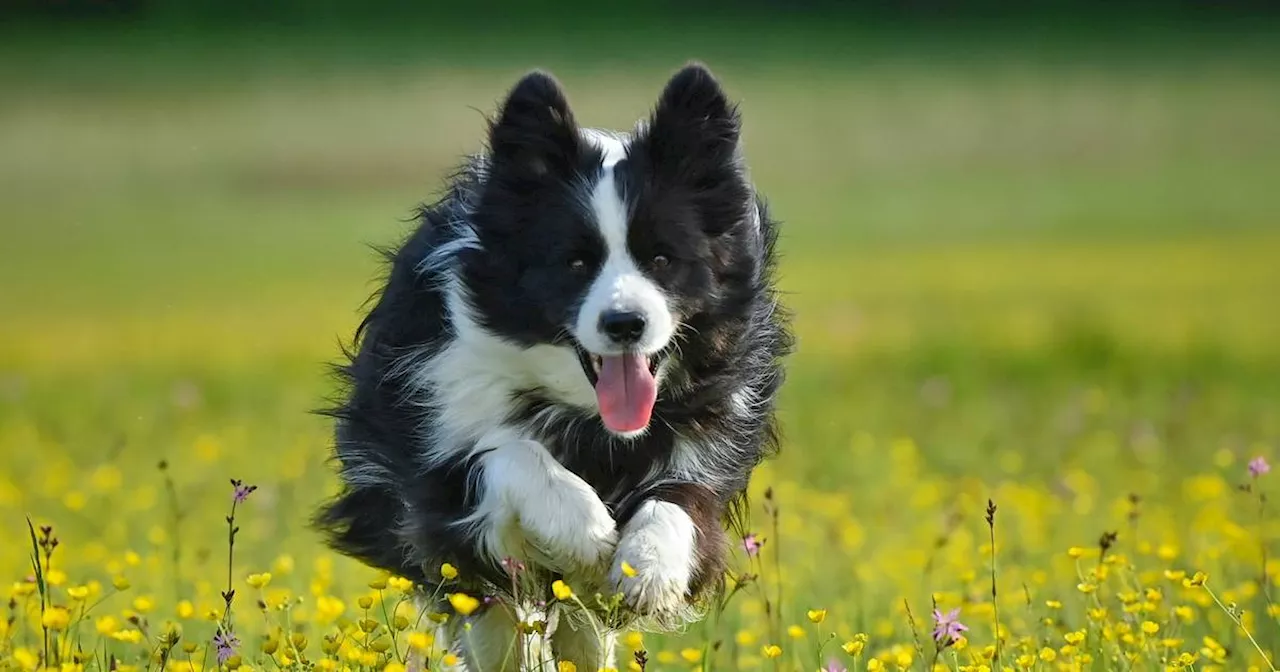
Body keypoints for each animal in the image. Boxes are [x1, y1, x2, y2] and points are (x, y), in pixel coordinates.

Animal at [314, 61, 788, 665]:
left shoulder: (708, 434)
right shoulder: (437, 440)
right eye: (575, 263)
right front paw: (587, 534)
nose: (625, 324)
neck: (590, 418)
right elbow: (509, 454)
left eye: (663, 258)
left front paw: (647, 567)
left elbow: (683, 499)